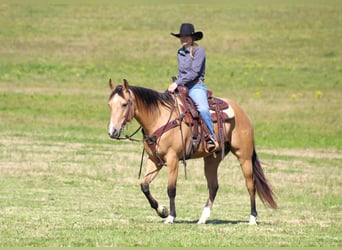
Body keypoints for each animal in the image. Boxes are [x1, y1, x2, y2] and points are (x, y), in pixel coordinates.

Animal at [108, 78, 276, 225]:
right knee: (213, 186)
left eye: (124, 104)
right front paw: (162, 210)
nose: (112, 132)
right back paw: (202, 219)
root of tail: (241, 112)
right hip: (212, 159)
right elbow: (144, 185)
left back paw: (252, 218)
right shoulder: (154, 160)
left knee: (250, 185)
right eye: (109, 105)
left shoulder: (173, 159)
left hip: (244, 156)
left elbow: (171, 189)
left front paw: (170, 217)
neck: (159, 118)